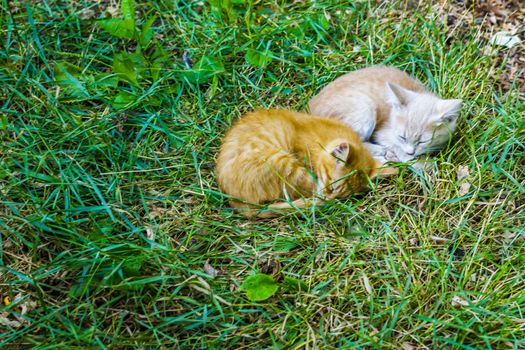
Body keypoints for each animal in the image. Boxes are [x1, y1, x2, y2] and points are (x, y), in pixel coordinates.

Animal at [310, 65, 460, 163]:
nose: (410, 151)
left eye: (423, 141)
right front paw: (416, 162)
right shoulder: (382, 134)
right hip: (365, 107)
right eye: (402, 137)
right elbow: (397, 148)